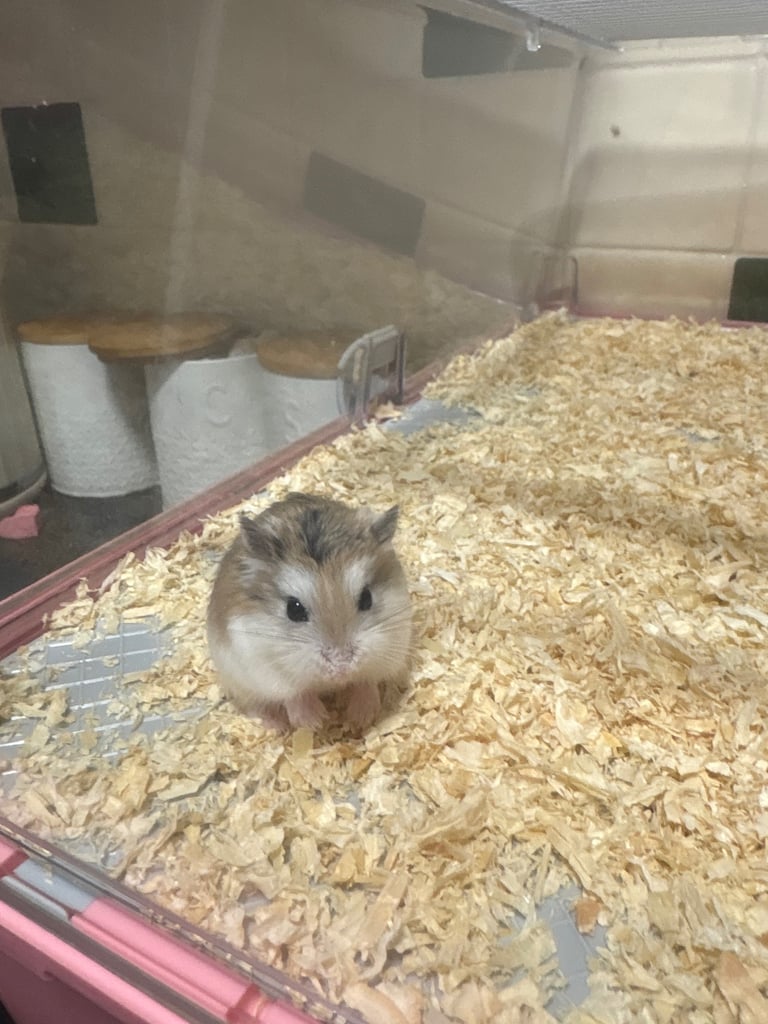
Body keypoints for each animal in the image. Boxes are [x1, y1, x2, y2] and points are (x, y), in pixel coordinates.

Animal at [206, 492, 412, 731]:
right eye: (293, 610)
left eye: (367, 598)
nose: (341, 666)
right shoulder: (262, 667)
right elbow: (293, 694)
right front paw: (316, 722)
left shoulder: (391, 647)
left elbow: (366, 681)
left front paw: (360, 718)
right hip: (239, 683)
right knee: (254, 707)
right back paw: (277, 725)